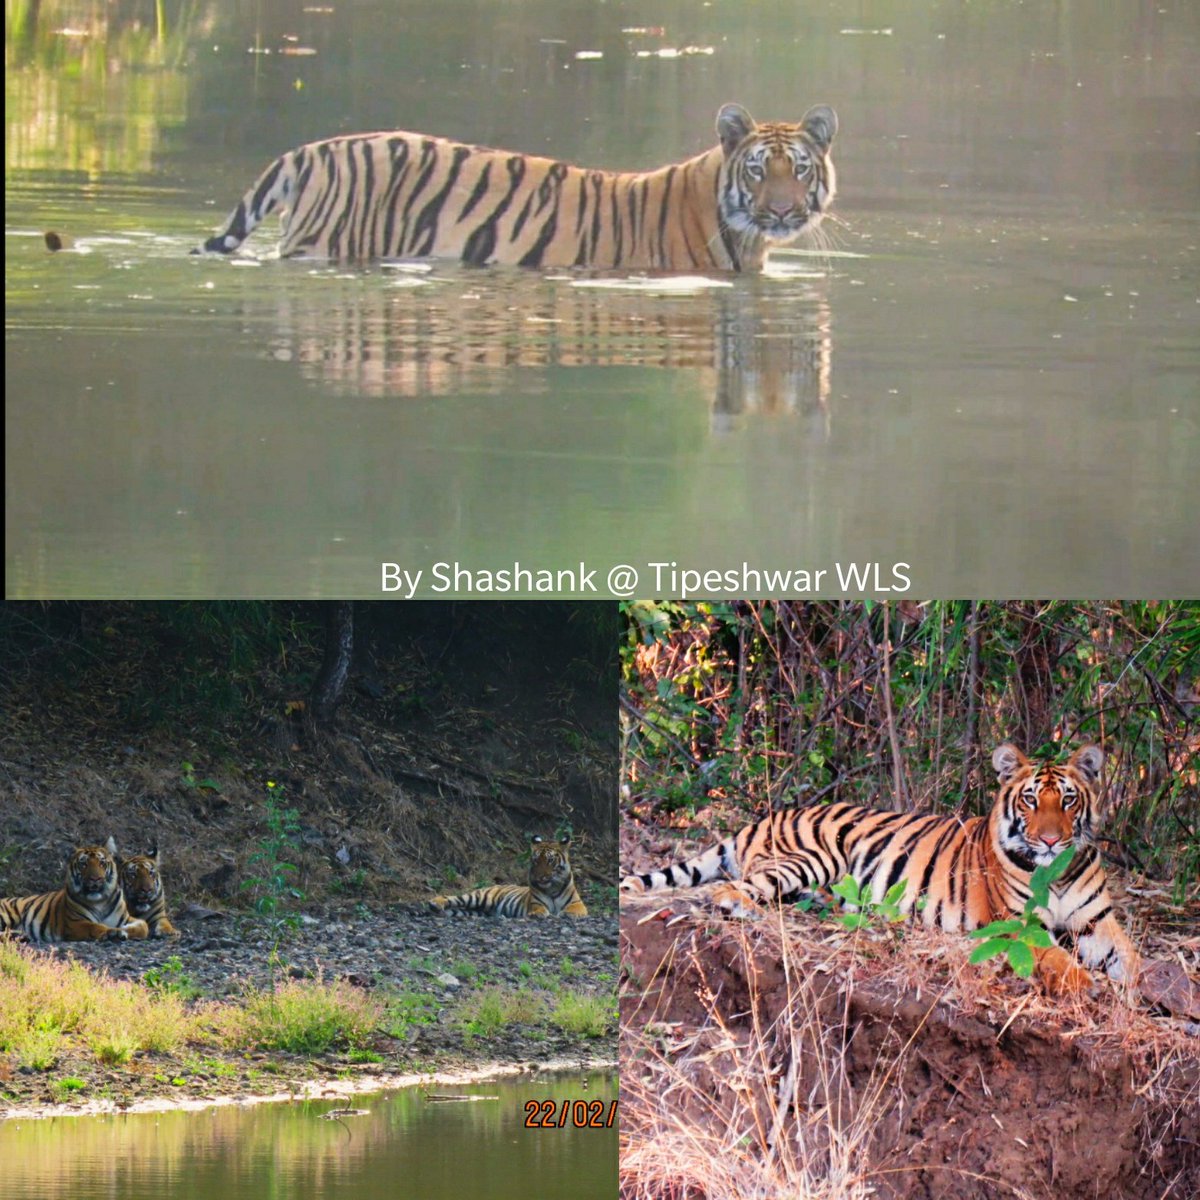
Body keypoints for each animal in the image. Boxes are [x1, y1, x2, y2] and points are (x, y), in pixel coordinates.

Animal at [0, 838, 150, 944]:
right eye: (83, 864)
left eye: (102, 863)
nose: (95, 878)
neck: (100, 901)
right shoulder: (75, 923)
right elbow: (95, 926)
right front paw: (112, 933)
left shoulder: (126, 918)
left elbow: (143, 926)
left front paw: (122, 931)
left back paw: (20, 935)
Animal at [428, 835, 588, 918]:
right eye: (536, 861)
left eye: (550, 860)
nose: (540, 877)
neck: (552, 887)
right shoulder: (536, 903)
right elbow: (539, 909)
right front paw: (538, 914)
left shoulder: (578, 904)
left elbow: (574, 910)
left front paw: (566, 914)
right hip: (477, 897)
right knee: (453, 898)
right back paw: (435, 903)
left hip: (474, 910)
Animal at [621, 744, 1140, 995]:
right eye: (1031, 800)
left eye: (1067, 800)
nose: (1050, 839)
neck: (1057, 871)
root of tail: (763, 817)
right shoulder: (1018, 922)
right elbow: (1056, 956)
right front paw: (1085, 985)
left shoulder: (1098, 921)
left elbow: (1133, 962)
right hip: (815, 856)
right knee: (731, 888)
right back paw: (743, 906)